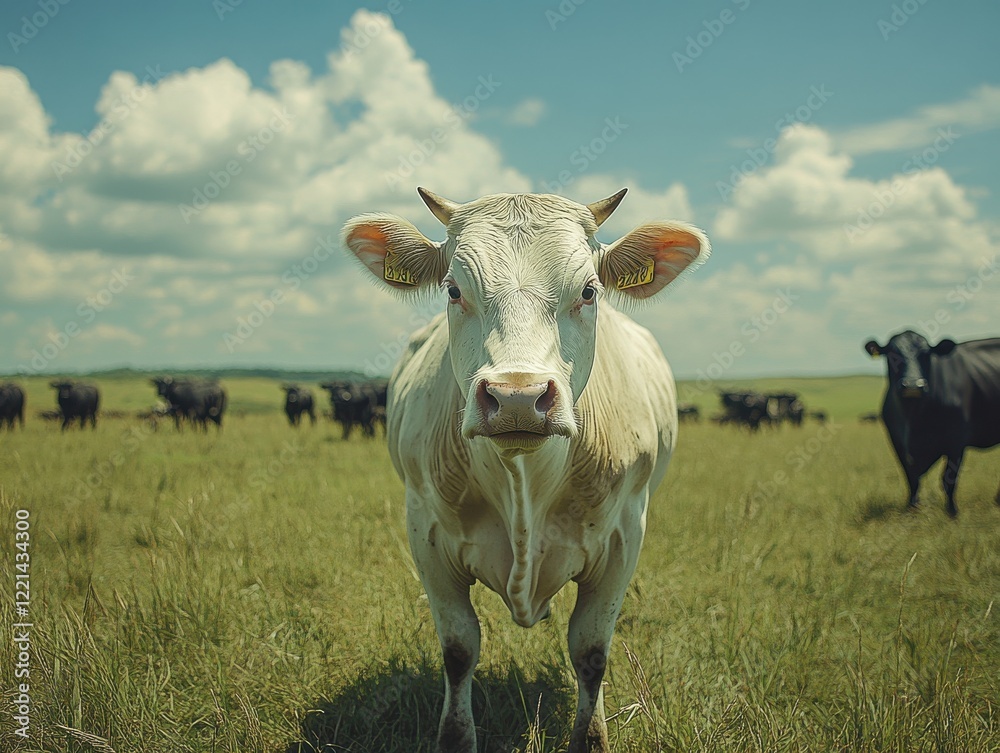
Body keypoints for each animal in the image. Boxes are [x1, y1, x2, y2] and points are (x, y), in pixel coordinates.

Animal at [342, 187, 710, 752]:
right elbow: (459, 649)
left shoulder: (625, 534)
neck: (523, 482)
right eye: (453, 289)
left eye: (589, 291)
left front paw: (591, 738)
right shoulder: (425, 530)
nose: (517, 397)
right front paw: (456, 737)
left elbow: (590, 651)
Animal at [865, 330, 1000, 517]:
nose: (913, 385)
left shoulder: (956, 442)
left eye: (926, 354)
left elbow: (948, 480)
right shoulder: (897, 443)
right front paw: (911, 510)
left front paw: (952, 513)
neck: (913, 419)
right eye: (893, 354)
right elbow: (911, 478)